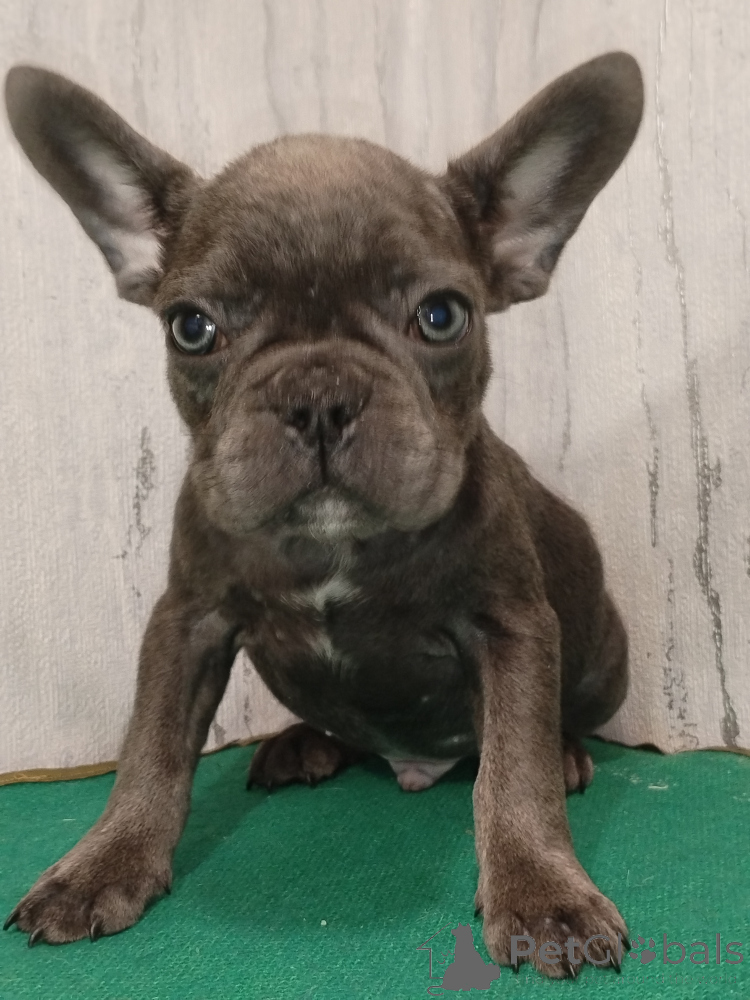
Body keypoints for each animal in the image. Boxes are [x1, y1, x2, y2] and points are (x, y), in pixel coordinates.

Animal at [4, 52, 643, 977]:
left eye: (442, 315)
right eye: (190, 327)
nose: (318, 395)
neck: (330, 545)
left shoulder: (511, 626)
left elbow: (511, 767)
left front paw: (541, 893)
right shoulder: (187, 621)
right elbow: (149, 748)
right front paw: (103, 863)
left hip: (604, 657)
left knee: (535, 738)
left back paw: (563, 754)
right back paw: (304, 741)